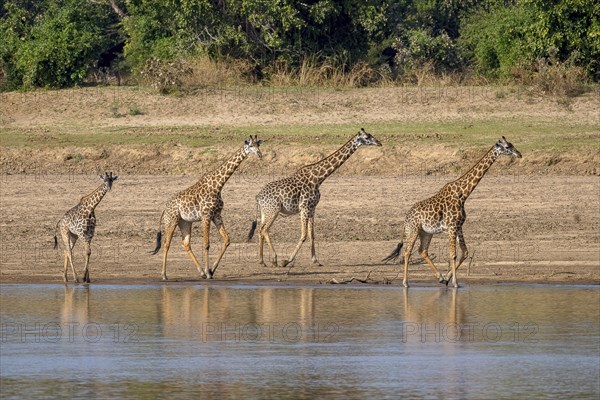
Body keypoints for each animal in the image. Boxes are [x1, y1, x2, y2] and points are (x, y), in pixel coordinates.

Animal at [151, 136, 262, 280]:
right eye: (250, 146)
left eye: (258, 145)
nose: (260, 154)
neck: (218, 185)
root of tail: (165, 209)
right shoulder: (206, 215)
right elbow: (206, 244)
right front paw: (209, 272)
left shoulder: (216, 215)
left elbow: (227, 240)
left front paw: (211, 270)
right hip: (172, 220)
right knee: (166, 243)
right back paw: (164, 275)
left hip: (185, 222)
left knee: (186, 244)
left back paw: (201, 272)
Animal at [247, 129, 380, 268]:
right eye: (367, 137)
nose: (379, 143)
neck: (318, 178)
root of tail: (258, 197)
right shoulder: (304, 208)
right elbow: (304, 235)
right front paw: (287, 261)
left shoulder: (312, 209)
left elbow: (312, 235)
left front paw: (316, 260)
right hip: (274, 210)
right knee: (264, 230)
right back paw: (274, 259)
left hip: (265, 212)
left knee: (260, 230)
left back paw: (262, 261)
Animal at [384, 138, 520, 288]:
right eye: (507, 147)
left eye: (512, 145)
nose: (519, 154)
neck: (463, 194)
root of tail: (406, 219)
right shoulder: (452, 227)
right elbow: (453, 255)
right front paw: (455, 283)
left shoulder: (459, 226)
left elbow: (465, 252)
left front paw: (447, 278)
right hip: (413, 230)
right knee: (407, 252)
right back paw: (405, 283)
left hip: (426, 232)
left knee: (422, 250)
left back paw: (440, 277)